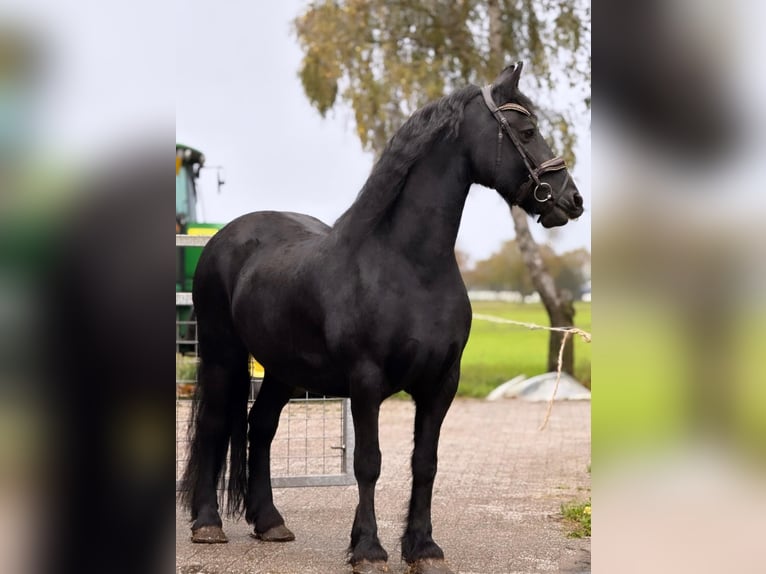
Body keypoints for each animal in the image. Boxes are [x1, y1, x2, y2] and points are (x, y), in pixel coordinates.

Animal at [180, 62, 584, 574]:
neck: (410, 267)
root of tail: (222, 239)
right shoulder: (367, 381)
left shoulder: (441, 382)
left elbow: (425, 463)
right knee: (214, 425)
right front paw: (369, 549)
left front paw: (423, 548)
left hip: (282, 370)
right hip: (221, 356)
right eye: (527, 131)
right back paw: (207, 524)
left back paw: (270, 522)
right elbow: (368, 463)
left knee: (261, 427)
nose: (572, 201)